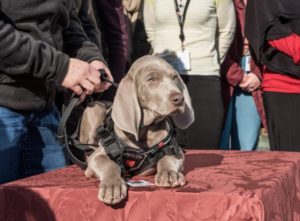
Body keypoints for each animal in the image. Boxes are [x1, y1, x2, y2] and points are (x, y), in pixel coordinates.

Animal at [78, 54, 195, 205]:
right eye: (152, 79)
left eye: (174, 77)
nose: (179, 99)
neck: (145, 131)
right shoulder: (97, 157)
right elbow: (109, 163)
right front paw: (112, 186)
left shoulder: (176, 151)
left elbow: (167, 157)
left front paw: (169, 173)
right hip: (93, 109)